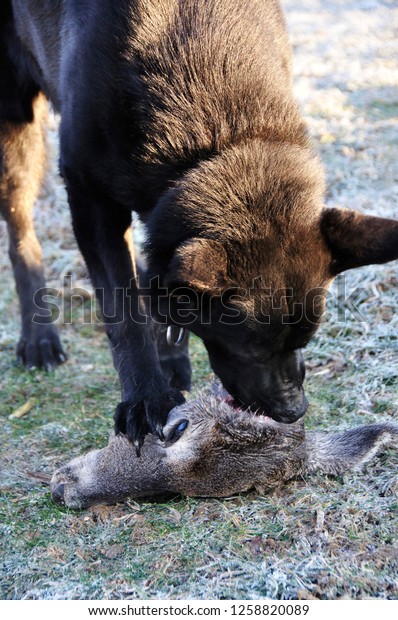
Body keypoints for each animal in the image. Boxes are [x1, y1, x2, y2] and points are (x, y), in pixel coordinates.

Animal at [0, 2, 398, 450]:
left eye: (304, 341)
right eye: (250, 350)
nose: (294, 412)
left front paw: (171, 352)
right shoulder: (89, 195)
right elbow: (123, 311)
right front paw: (145, 399)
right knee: (21, 236)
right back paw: (39, 339)